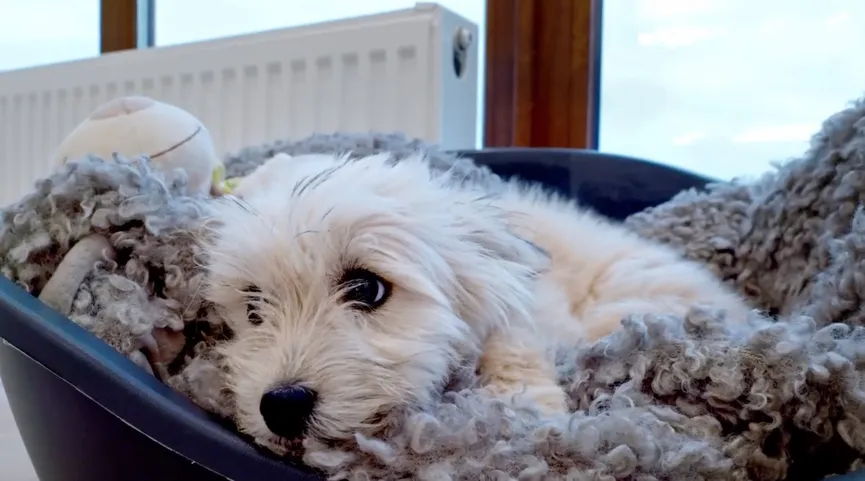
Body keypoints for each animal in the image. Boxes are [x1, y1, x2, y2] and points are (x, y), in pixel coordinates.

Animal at [202, 153, 748, 450]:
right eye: (253, 307)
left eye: (366, 288)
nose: (281, 406)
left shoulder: (521, 299)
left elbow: (511, 342)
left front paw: (525, 406)